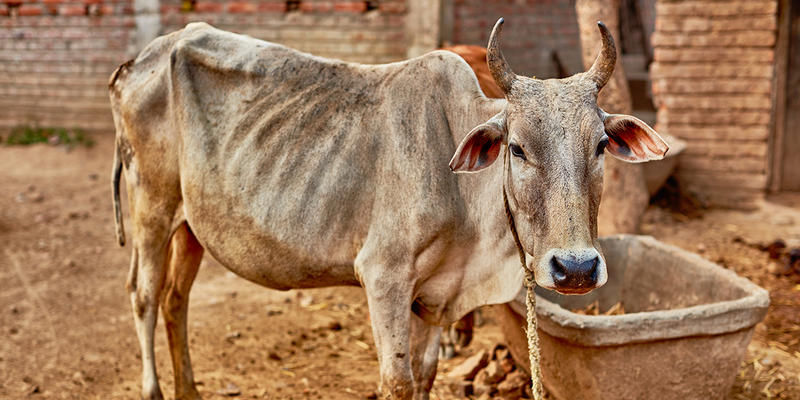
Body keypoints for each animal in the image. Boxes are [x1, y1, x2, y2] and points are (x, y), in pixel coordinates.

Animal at [109, 18, 667, 400]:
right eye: (517, 148)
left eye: (600, 145)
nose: (576, 268)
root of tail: (139, 60)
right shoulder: (384, 278)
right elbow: (397, 382)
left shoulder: (434, 295)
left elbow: (425, 375)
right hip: (151, 207)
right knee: (143, 295)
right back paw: (155, 388)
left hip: (190, 226)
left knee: (175, 300)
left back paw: (189, 390)